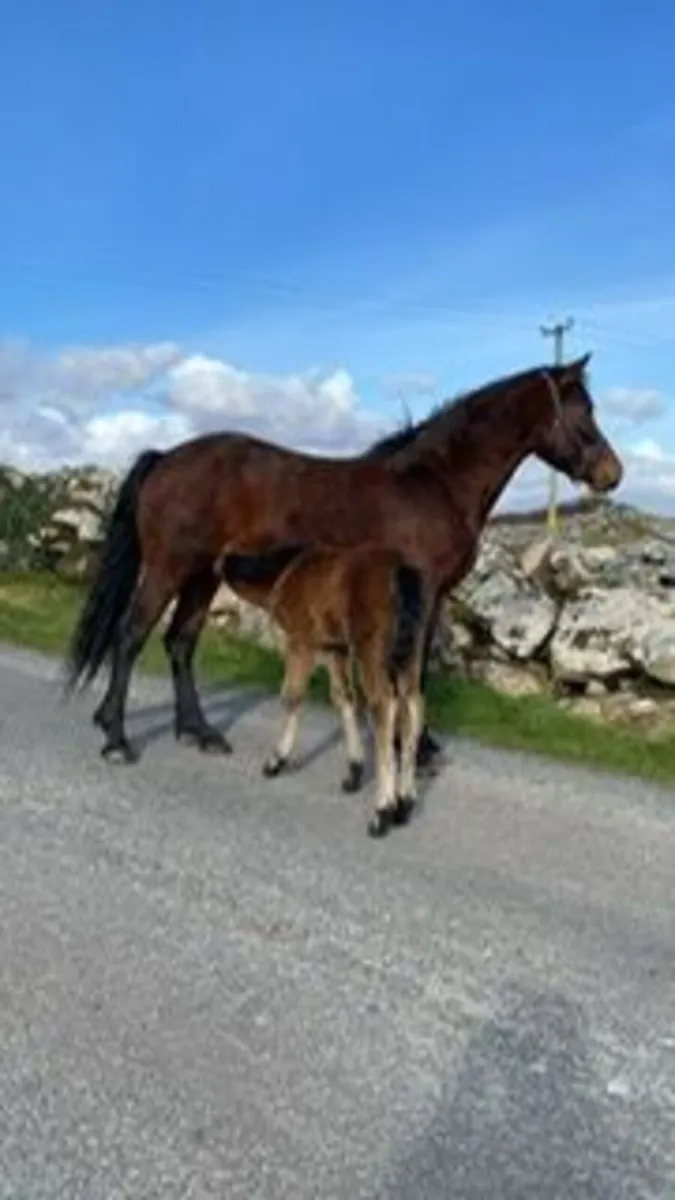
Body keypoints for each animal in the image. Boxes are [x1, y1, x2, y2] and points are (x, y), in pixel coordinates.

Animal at [65, 352, 623, 765]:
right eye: (581, 411)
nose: (611, 473)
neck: (435, 484)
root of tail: (166, 458)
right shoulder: (421, 592)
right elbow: (413, 670)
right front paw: (415, 748)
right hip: (169, 568)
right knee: (131, 637)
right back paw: (116, 739)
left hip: (203, 576)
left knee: (180, 643)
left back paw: (199, 733)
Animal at [215, 541, 435, 837]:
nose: (224, 559)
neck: (284, 571)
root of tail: (402, 572)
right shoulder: (335, 649)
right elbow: (344, 697)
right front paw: (354, 772)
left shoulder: (301, 643)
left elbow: (292, 695)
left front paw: (276, 760)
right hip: (410, 657)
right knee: (412, 706)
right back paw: (405, 804)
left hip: (372, 652)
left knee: (384, 707)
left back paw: (383, 811)